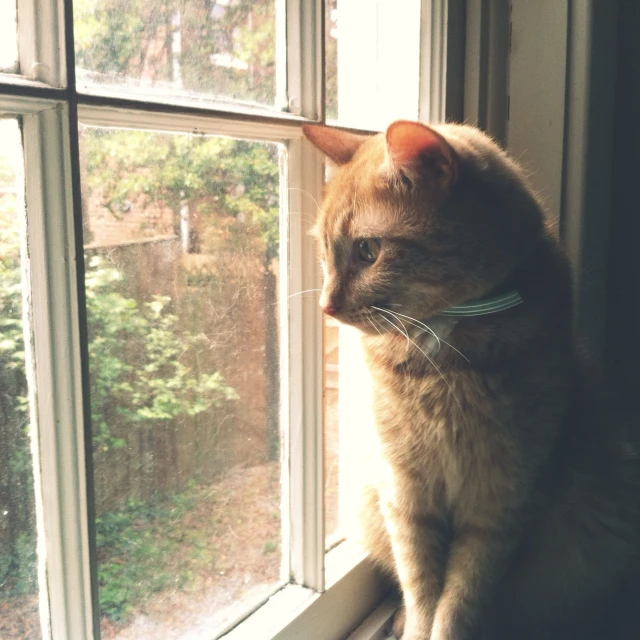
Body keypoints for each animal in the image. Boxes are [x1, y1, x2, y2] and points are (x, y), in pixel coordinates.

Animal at [302, 121, 640, 640]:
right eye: (323, 249)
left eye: (367, 251)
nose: (325, 306)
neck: (444, 356)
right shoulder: (406, 497)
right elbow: (422, 591)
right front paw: (416, 626)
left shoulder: (500, 505)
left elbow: (460, 601)